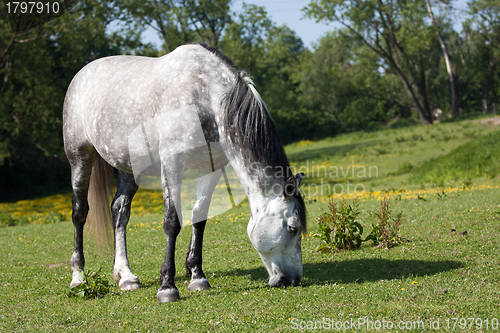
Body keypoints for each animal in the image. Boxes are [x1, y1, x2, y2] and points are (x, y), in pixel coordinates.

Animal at [61, 42, 304, 302]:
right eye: (292, 228)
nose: (293, 280)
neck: (204, 97)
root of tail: (82, 74)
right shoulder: (171, 164)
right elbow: (172, 222)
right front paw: (167, 287)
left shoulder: (210, 169)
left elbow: (199, 217)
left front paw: (198, 277)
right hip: (79, 158)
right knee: (79, 213)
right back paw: (78, 277)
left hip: (127, 168)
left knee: (119, 211)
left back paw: (125, 276)